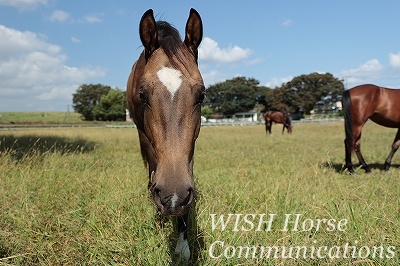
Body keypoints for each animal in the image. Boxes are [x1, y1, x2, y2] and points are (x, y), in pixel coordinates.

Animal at [126, 8, 205, 262]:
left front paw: (182, 245)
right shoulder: (146, 138)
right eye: (142, 94)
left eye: (201, 95)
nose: (173, 197)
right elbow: (153, 166)